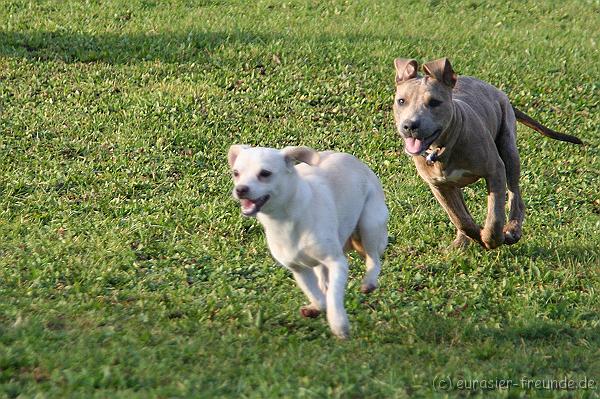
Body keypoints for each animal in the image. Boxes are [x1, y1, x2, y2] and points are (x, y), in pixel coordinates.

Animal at [226, 145, 390, 340]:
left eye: (265, 173)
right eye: (236, 173)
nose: (240, 189)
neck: (284, 219)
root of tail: (358, 162)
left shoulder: (337, 262)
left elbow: (333, 294)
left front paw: (338, 324)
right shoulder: (299, 269)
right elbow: (317, 296)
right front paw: (317, 308)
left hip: (369, 225)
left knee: (374, 259)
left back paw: (369, 282)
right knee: (323, 280)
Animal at [394, 57, 580, 250]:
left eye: (434, 102)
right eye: (401, 101)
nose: (409, 125)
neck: (444, 147)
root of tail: (496, 90)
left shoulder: (495, 170)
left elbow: (495, 214)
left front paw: (491, 238)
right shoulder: (439, 186)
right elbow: (460, 218)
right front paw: (475, 235)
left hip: (509, 149)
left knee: (515, 195)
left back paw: (512, 229)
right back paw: (462, 241)